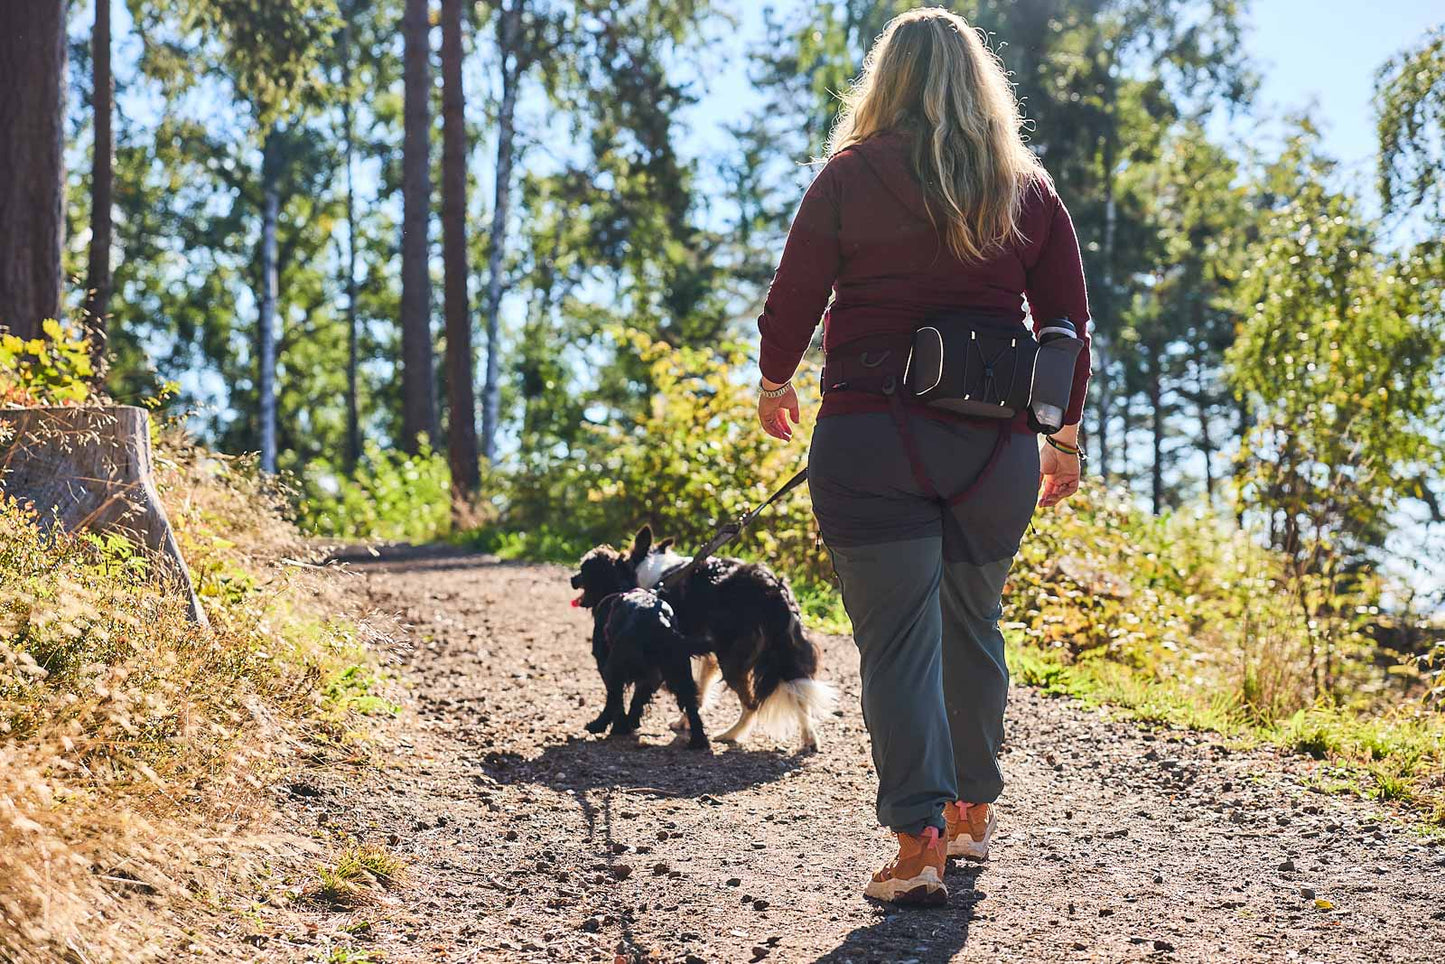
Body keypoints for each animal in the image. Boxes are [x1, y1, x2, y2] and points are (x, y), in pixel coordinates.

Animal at [566, 528, 832, 751]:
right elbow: (699, 690)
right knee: (797, 692)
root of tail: (774, 590)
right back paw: (809, 739)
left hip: (733, 657)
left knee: (752, 703)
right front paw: (685, 721)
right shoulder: (695, 652)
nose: (572, 579)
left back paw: (729, 734)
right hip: (776, 652)